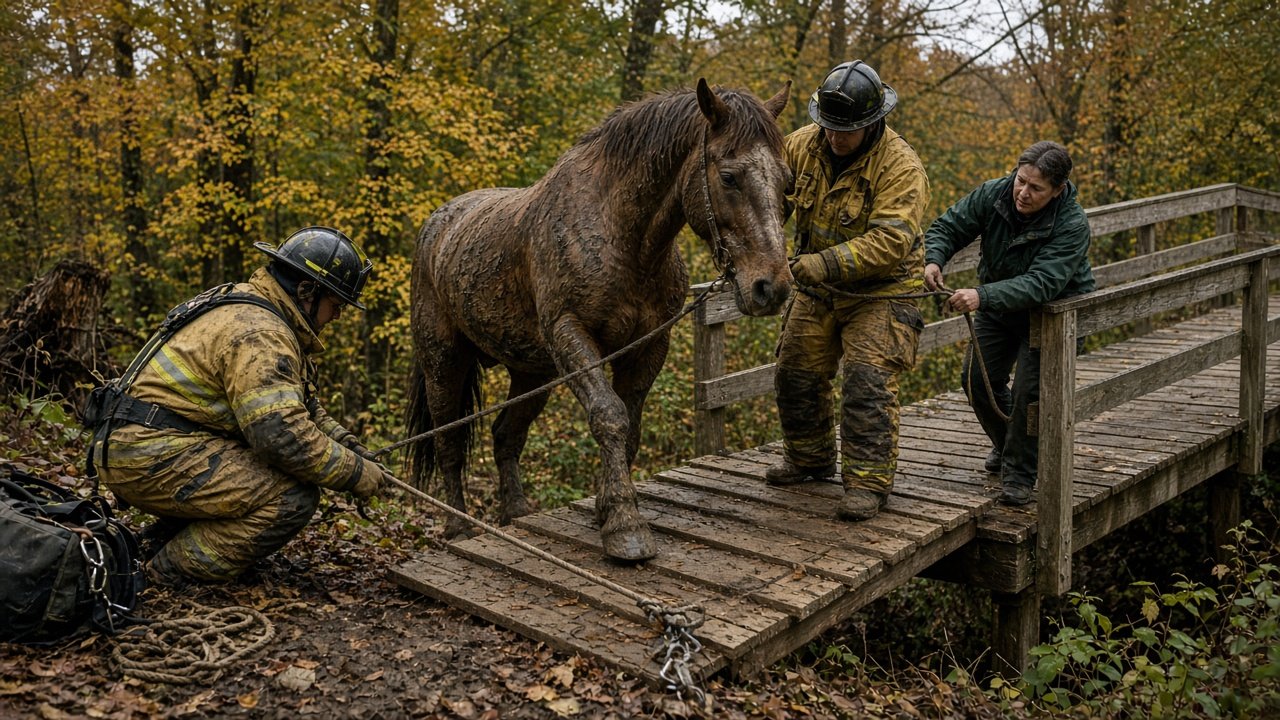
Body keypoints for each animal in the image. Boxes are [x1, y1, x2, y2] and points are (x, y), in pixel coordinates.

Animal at [407, 79, 792, 561]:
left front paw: (608, 508)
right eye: (728, 177)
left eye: (787, 182)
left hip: (532, 373)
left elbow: (631, 428)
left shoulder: (649, 346)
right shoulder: (571, 335)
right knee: (449, 442)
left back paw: (515, 513)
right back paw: (458, 526)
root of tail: (436, 226)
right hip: (444, 362)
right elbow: (609, 414)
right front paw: (625, 526)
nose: (771, 287)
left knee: (505, 435)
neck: (622, 238)